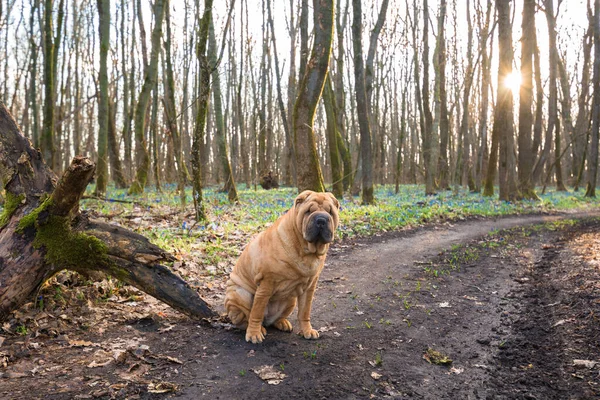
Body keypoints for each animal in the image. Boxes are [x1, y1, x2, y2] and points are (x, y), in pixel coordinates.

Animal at [224, 191, 340, 344]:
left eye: (330, 212)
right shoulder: (266, 283)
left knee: (275, 318)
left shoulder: (309, 287)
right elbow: (256, 312)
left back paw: (282, 323)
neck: (306, 251)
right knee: (246, 317)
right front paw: (254, 334)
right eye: (308, 211)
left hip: (291, 300)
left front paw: (307, 331)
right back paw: (259, 328)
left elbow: (305, 312)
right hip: (240, 294)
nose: (321, 219)